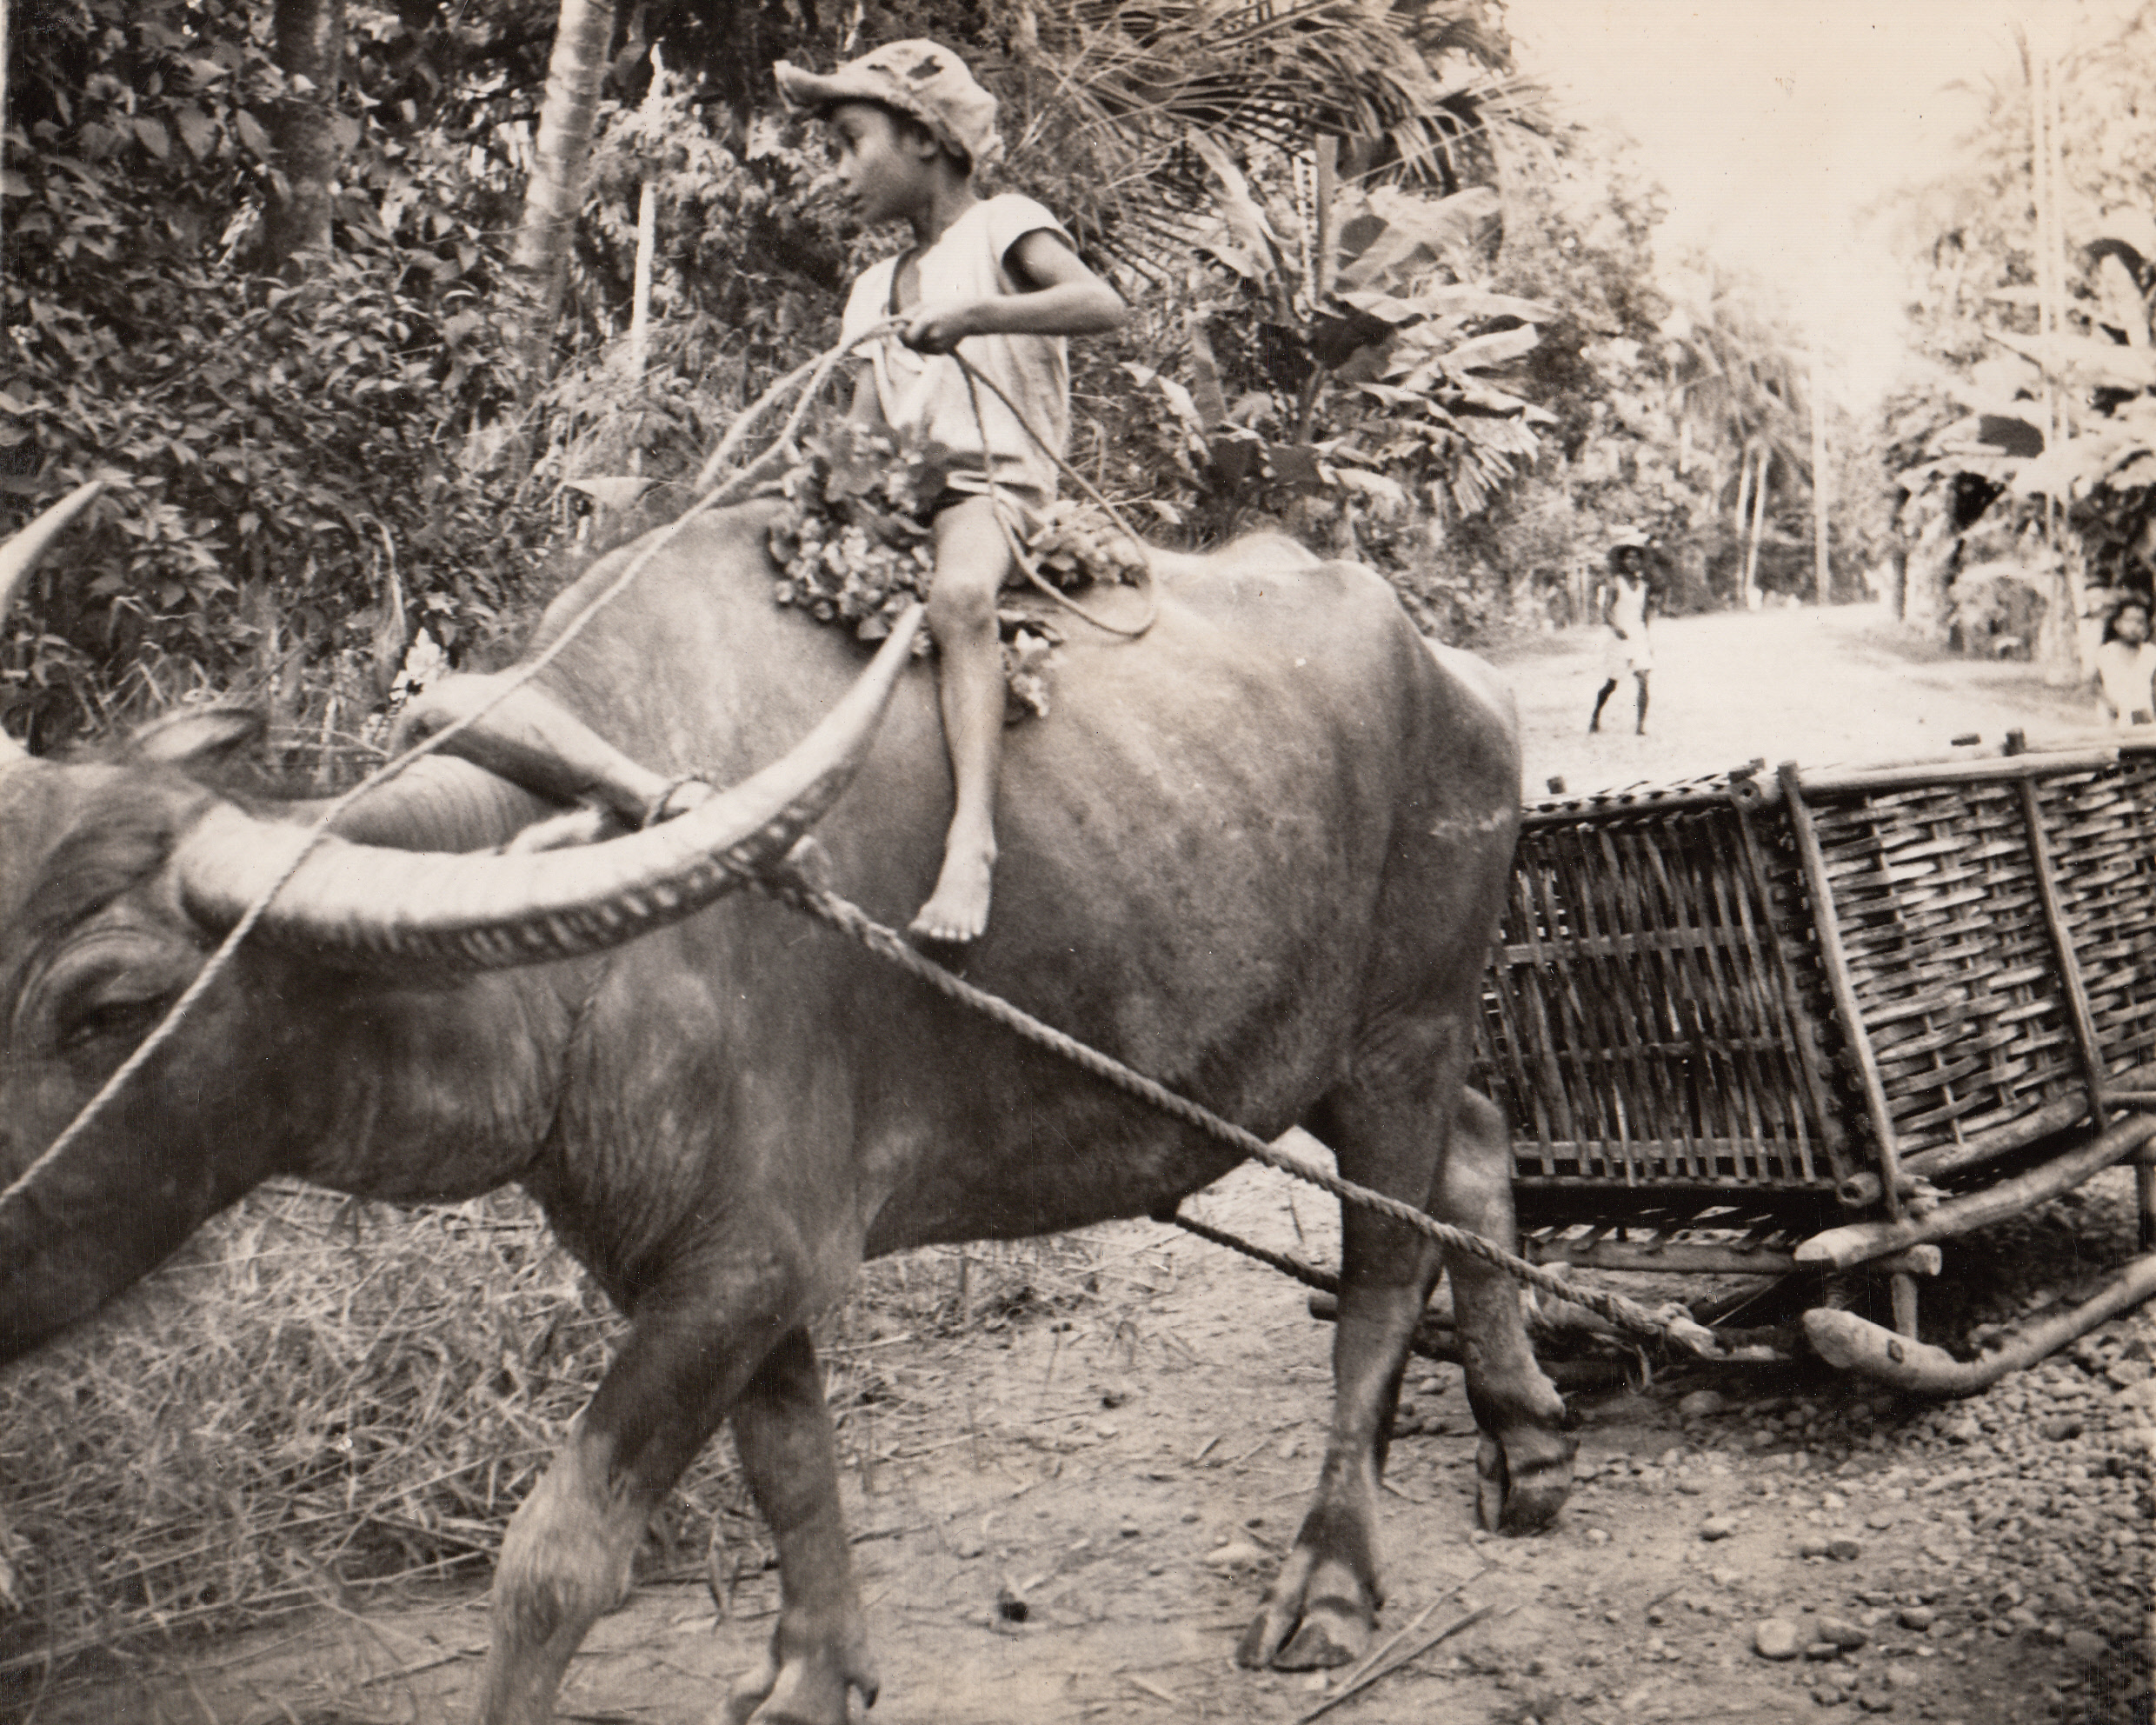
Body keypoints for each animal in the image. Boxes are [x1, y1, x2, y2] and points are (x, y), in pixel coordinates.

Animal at [0, 485, 1569, 1725]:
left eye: (107, 1007)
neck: (578, 962)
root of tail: (1464, 678)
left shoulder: (752, 1251)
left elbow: (558, 1555)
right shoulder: (683, 1250)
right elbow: (791, 1458)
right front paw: (817, 1672)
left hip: (1403, 1028)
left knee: (1386, 1268)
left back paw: (1333, 1578)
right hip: (1313, 1058)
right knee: (1479, 1152)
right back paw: (1528, 1434)